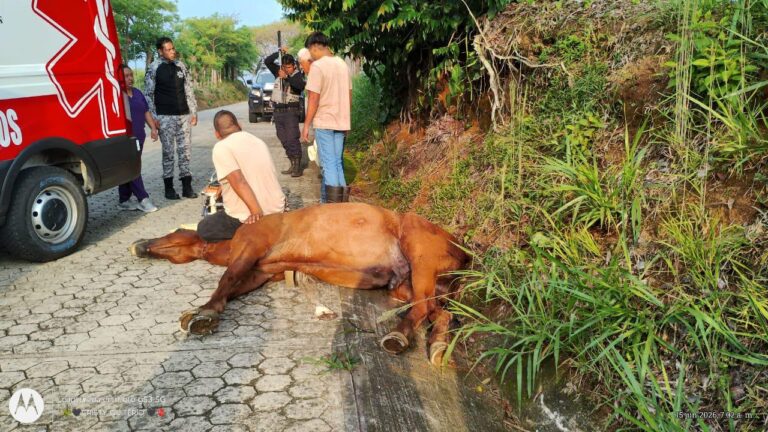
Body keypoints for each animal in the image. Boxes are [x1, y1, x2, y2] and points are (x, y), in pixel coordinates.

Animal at [129, 203, 467, 365]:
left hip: (419, 255)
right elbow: (232, 287)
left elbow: (227, 278)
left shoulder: (249, 248)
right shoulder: (259, 272)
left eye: (174, 232)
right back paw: (438, 345)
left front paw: (204, 313)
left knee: (422, 308)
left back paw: (398, 335)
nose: (139, 245)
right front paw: (209, 308)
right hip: (404, 285)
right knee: (438, 312)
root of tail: (463, 250)